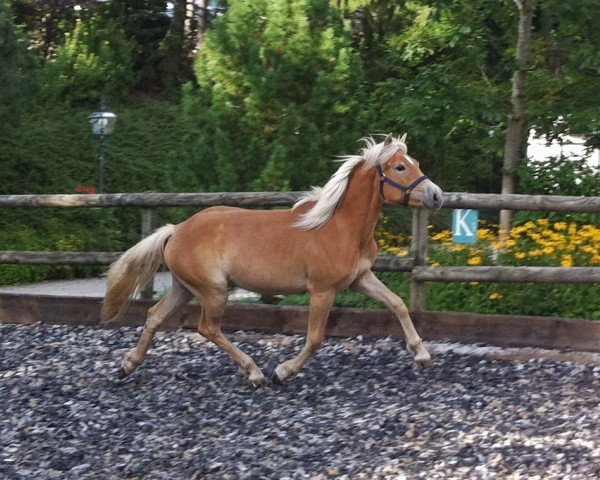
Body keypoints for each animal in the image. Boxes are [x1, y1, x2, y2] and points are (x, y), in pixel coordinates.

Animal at [102, 132, 440, 386]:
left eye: (416, 163)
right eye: (400, 167)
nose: (436, 195)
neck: (339, 226)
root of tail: (177, 230)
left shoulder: (360, 278)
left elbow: (397, 303)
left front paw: (422, 356)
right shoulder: (322, 290)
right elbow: (315, 337)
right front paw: (283, 372)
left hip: (184, 288)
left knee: (155, 315)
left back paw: (127, 365)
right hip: (213, 291)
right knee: (207, 328)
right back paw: (255, 373)